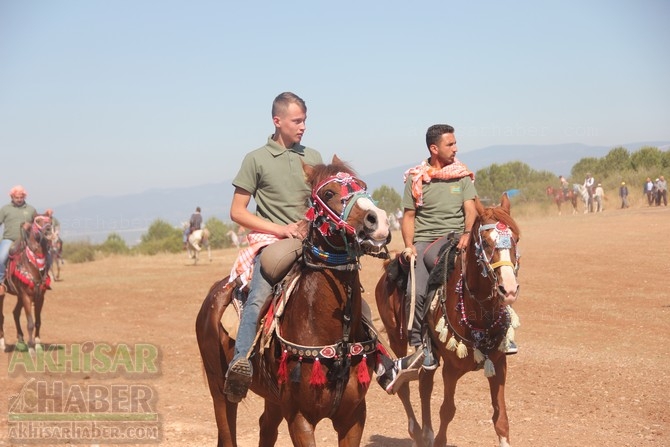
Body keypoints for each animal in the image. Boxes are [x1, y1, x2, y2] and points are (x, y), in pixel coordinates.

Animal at [0, 215, 52, 356]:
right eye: (38, 221)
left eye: (50, 220)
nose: (49, 230)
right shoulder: (26, 297)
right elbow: (30, 323)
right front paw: (31, 348)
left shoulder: (40, 297)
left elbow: (38, 321)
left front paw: (38, 345)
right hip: (5, 295)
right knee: (2, 316)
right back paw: (3, 344)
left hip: (19, 297)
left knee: (15, 313)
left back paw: (21, 341)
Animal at [196, 156, 394, 446]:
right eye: (328, 193)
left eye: (362, 186)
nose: (377, 221)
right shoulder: (300, 418)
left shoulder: (354, 416)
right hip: (219, 388)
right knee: (227, 430)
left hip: (273, 397)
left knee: (266, 427)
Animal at [376, 195, 524, 447]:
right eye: (486, 243)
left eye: (515, 238)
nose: (509, 288)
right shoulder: (452, 369)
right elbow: (447, 411)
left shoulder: (499, 364)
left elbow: (500, 417)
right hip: (396, 337)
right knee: (405, 386)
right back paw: (417, 432)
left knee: (424, 384)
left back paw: (425, 433)